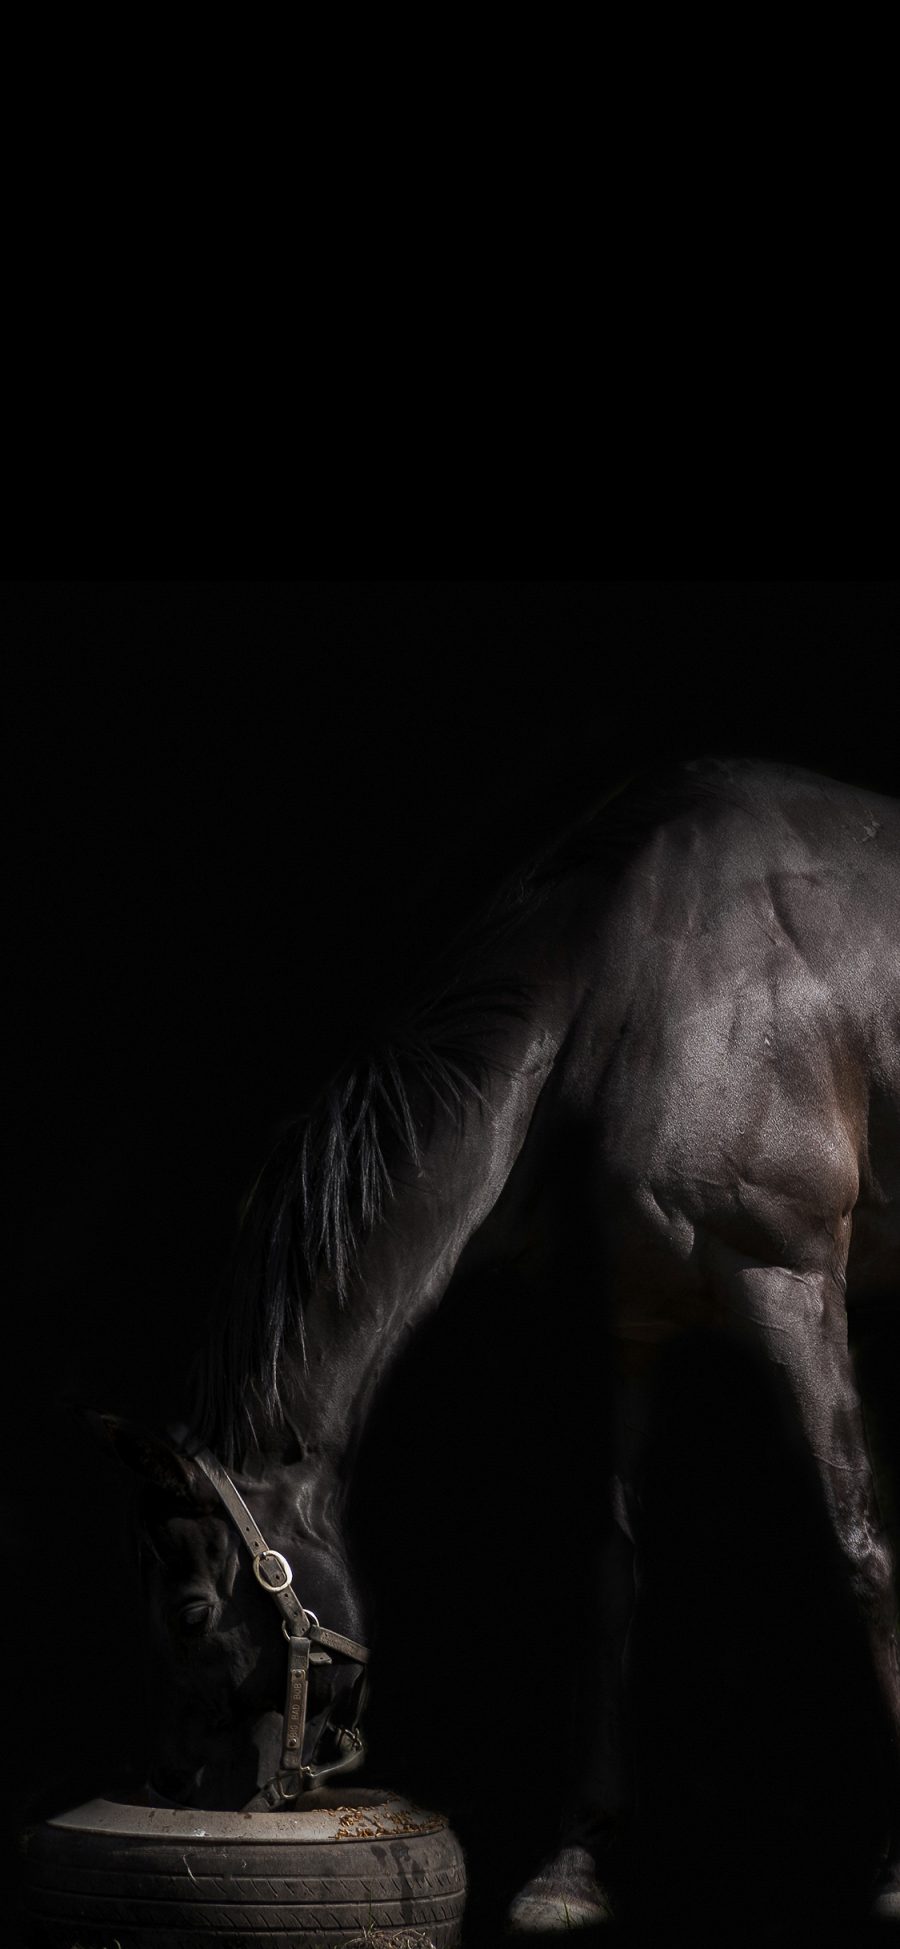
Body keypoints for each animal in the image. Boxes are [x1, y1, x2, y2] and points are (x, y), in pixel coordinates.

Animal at [89, 756, 900, 1933]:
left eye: (192, 1612)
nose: (173, 1789)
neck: (646, 986)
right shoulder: (631, 1323)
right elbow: (613, 1570)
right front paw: (575, 1858)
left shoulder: (790, 1285)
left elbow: (859, 1548)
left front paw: (895, 1866)